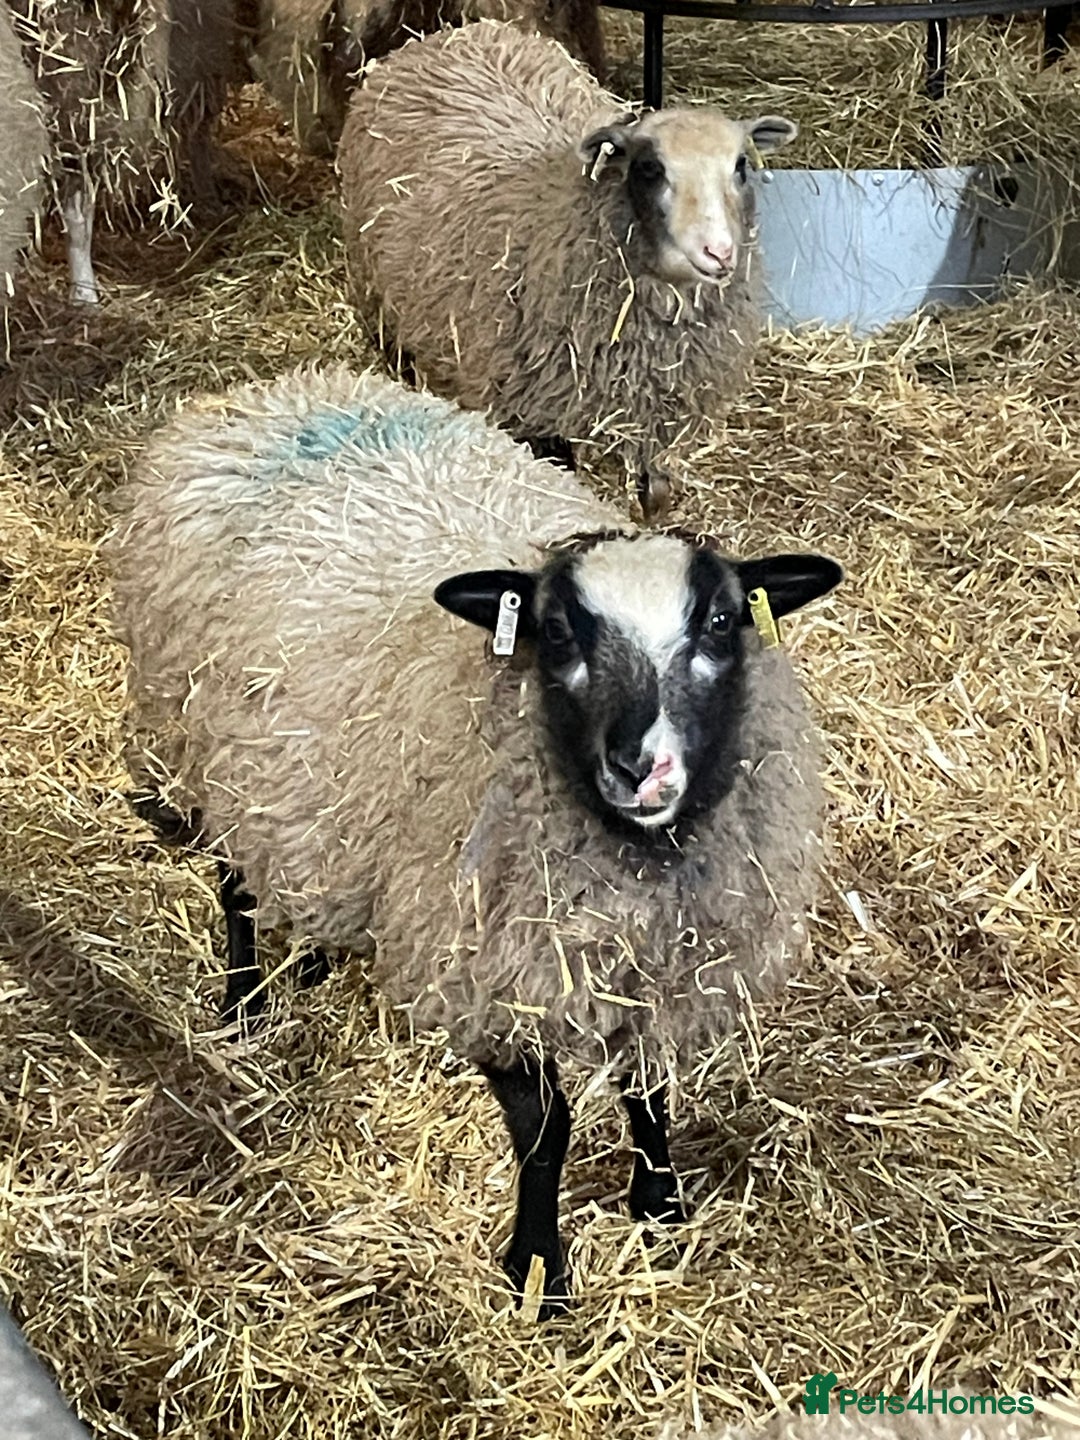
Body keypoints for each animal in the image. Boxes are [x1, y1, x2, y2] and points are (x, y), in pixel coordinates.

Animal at [108, 364, 841, 1316]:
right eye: (557, 631)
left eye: (721, 623)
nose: (640, 765)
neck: (639, 863)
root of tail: (274, 392)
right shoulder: (486, 971)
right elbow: (547, 1129)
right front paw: (539, 1266)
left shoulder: (657, 966)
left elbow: (648, 1084)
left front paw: (658, 1198)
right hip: (209, 743)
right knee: (235, 882)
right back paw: (243, 1004)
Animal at [338, 22, 797, 518]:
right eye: (650, 168)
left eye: (741, 165)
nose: (718, 252)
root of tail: (449, 34)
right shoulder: (529, 412)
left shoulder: (657, 416)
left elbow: (655, 492)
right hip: (379, 299)